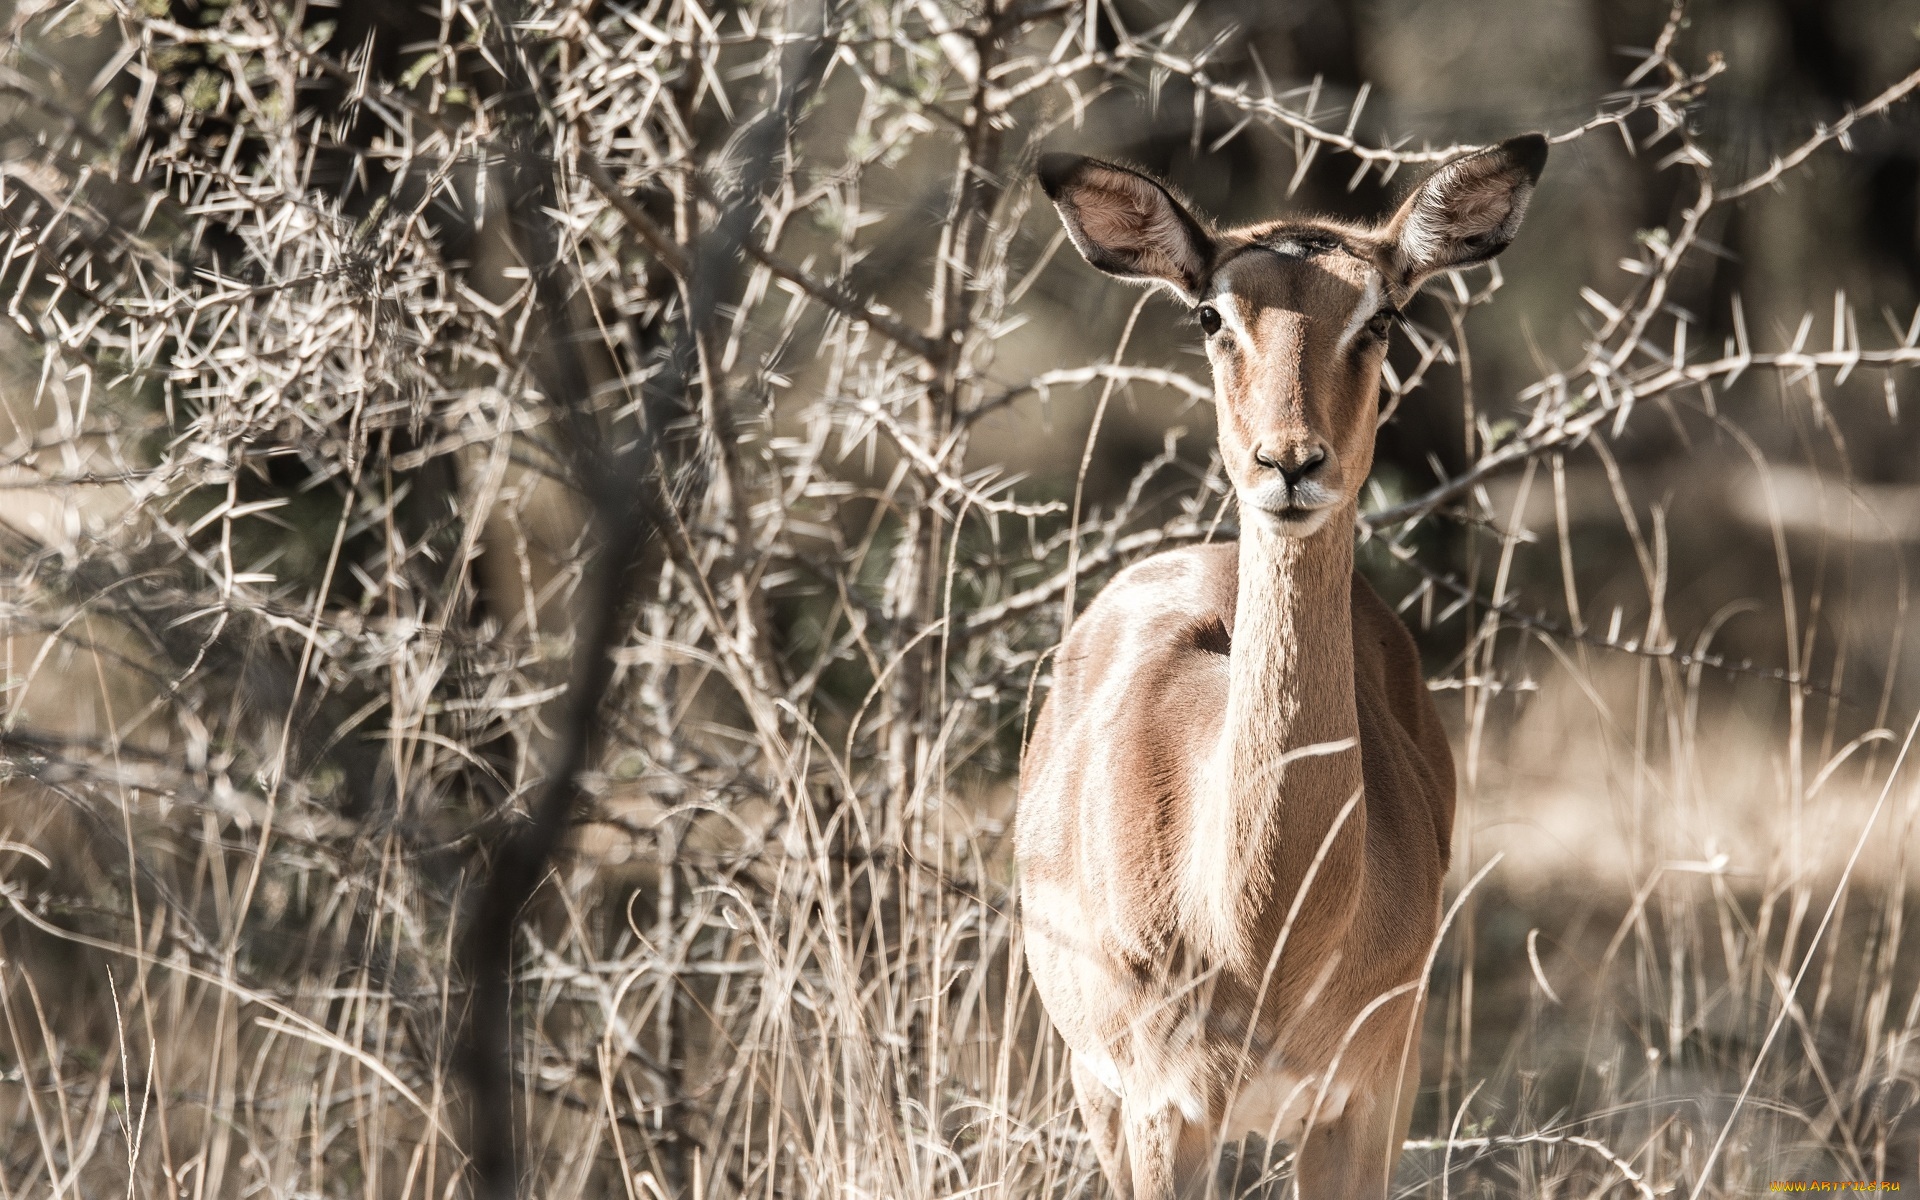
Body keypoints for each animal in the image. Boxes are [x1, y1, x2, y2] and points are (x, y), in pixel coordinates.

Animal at [1021, 135, 1543, 1190]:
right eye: (1211, 314)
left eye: (1382, 313)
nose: (1290, 464)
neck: (1257, 932)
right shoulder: (1161, 1113)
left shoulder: (1362, 1104)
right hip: (1099, 1094)